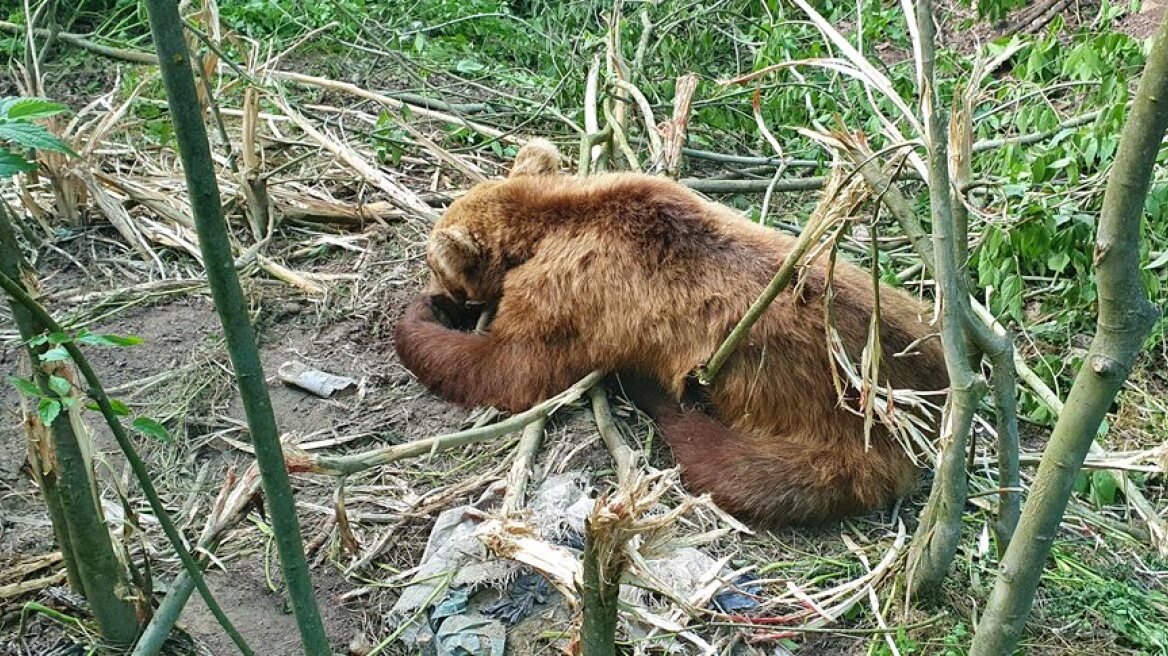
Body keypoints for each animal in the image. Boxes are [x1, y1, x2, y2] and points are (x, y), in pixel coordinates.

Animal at [392, 138, 948, 525]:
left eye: (435, 264)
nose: (435, 284)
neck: (546, 226)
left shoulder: (570, 293)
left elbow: (512, 369)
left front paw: (421, 314)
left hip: (826, 422)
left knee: (736, 467)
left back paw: (652, 392)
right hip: (897, 301)